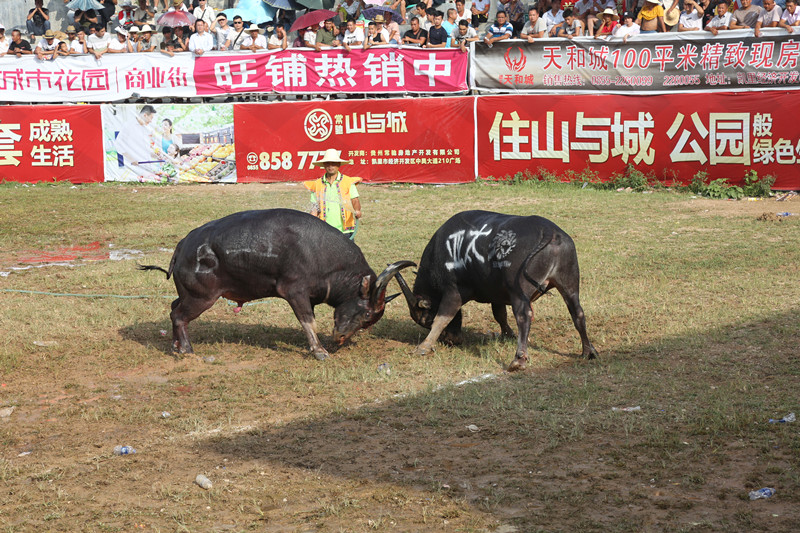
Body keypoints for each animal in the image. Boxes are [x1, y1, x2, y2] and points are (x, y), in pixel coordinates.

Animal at [140, 207, 412, 358]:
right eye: (366, 314)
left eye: (369, 321)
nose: (340, 338)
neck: (323, 257)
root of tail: (184, 244)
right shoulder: (295, 293)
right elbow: (308, 322)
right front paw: (319, 351)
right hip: (201, 298)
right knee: (179, 316)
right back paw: (186, 349)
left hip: (187, 294)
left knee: (173, 308)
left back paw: (175, 344)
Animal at [396, 209, 596, 370]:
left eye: (425, 320)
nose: (450, 340)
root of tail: (548, 231)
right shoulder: (497, 295)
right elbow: (500, 314)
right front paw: (508, 334)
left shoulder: (453, 291)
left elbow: (443, 317)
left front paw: (424, 346)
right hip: (569, 284)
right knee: (578, 313)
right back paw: (588, 351)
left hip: (519, 291)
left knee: (524, 316)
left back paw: (518, 360)